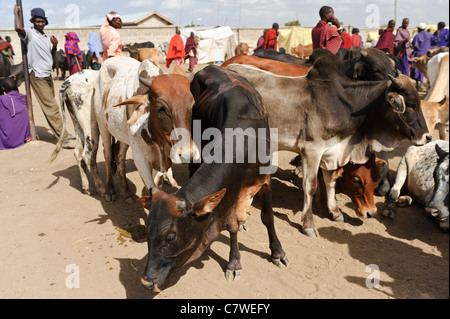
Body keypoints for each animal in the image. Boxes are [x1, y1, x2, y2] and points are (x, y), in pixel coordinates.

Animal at [137, 66, 288, 294]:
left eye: (171, 237)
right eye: (147, 231)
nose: (147, 282)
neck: (244, 139)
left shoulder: (265, 179)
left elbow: (268, 217)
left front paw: (277, 252)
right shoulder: (228, 193)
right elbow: (231, 226)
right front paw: (234, 262)